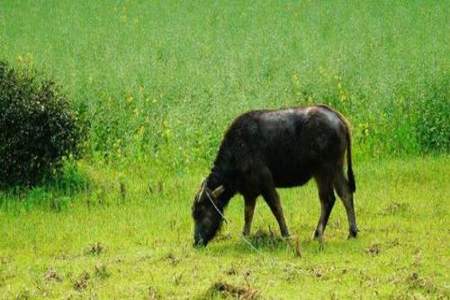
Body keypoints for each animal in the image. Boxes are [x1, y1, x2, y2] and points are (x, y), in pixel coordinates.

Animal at [192, 105, 356, 246]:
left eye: (202, 211)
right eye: (194, 213)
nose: (197, 242)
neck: (238, 149)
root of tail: (338, 118)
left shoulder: (265, 182)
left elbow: (276, 206)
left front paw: (286, 234)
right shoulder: (249, 191)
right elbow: (248, 213)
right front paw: (245, 236)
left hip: (323, 171)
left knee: (327, 199)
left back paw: (318, 234)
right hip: (336, 169)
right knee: (345, 193)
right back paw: (352, 232)